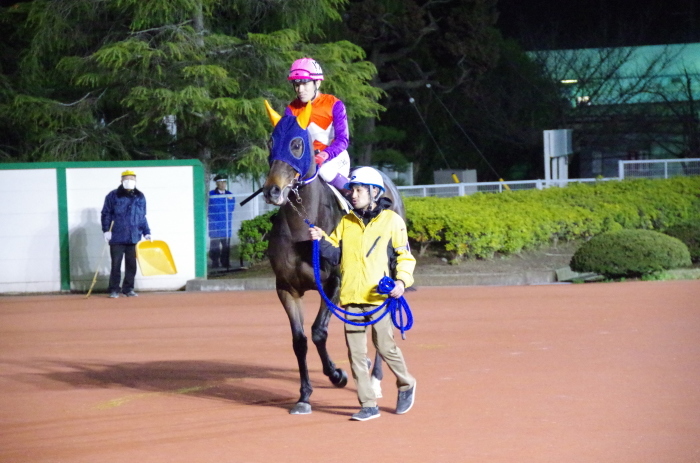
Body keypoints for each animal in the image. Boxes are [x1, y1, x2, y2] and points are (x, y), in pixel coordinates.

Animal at [262, 99, 404, 416]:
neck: (303, 224)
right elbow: (300, 340)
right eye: (270, 142)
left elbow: (318, 332)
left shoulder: (335, 283)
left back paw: (375, 378)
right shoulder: (286, 288)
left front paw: (337, 374)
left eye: (297, 144)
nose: (273, 190)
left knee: (382, 320)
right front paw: (304, 396)